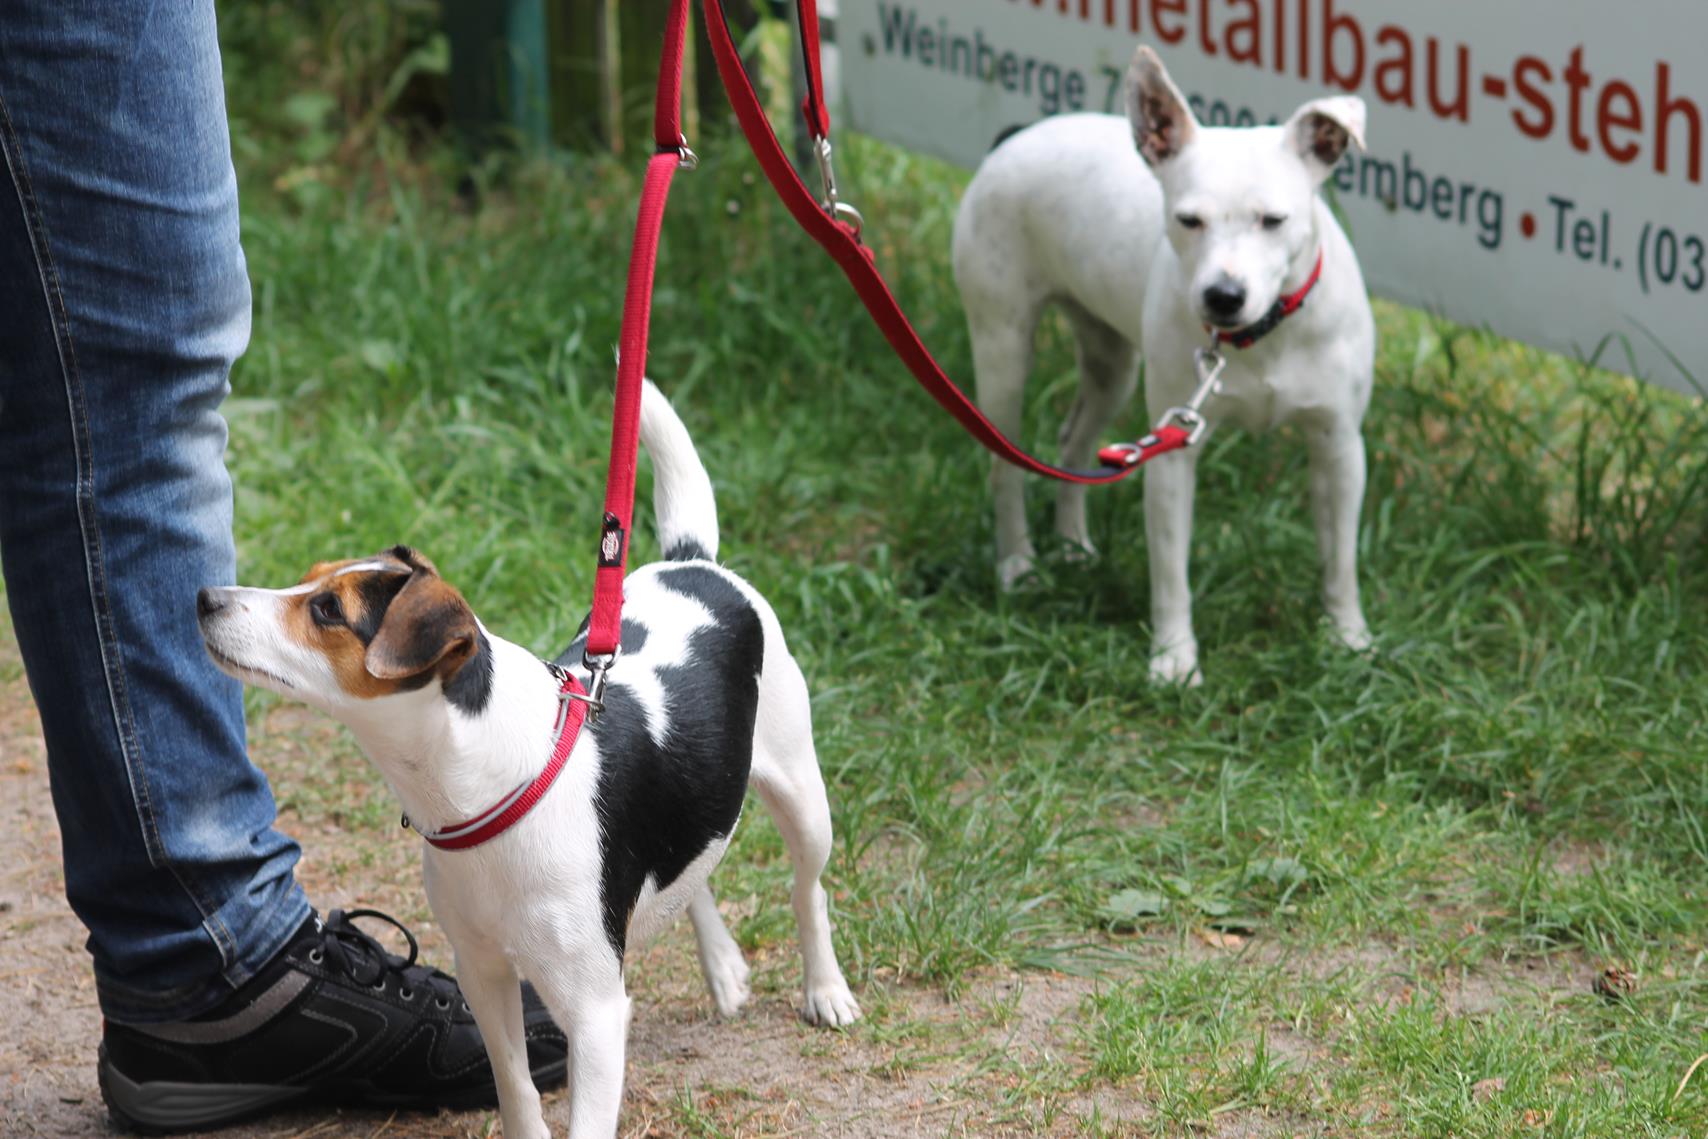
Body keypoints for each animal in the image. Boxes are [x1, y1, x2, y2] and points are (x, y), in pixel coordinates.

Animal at [198, 385, 860, 1139]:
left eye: (328, 610)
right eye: (307, 582)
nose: (206, 596)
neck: (493, 785)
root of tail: (696, 562)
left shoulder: (596, 1015)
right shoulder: (483, 974)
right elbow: (515, 1089)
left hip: (802, 794)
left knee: (808, 889)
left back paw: (825, 989)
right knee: (691, 869)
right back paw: (722, 965)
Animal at [956, 46, 1380, 686]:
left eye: (1274, 220)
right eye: (1188, 220)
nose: (1223, 296)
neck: (1261, 337)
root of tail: (1016, 136)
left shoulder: (1339, 449)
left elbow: (1342, 563)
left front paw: (1347, 638)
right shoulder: (1171, 457)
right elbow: (1170, 574)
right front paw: (1175, 659)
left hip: (1110, 365)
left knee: (1073, 443)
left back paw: (1073, 547)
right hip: (1003, 351)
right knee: (1005, 468)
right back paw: (1019, 565)